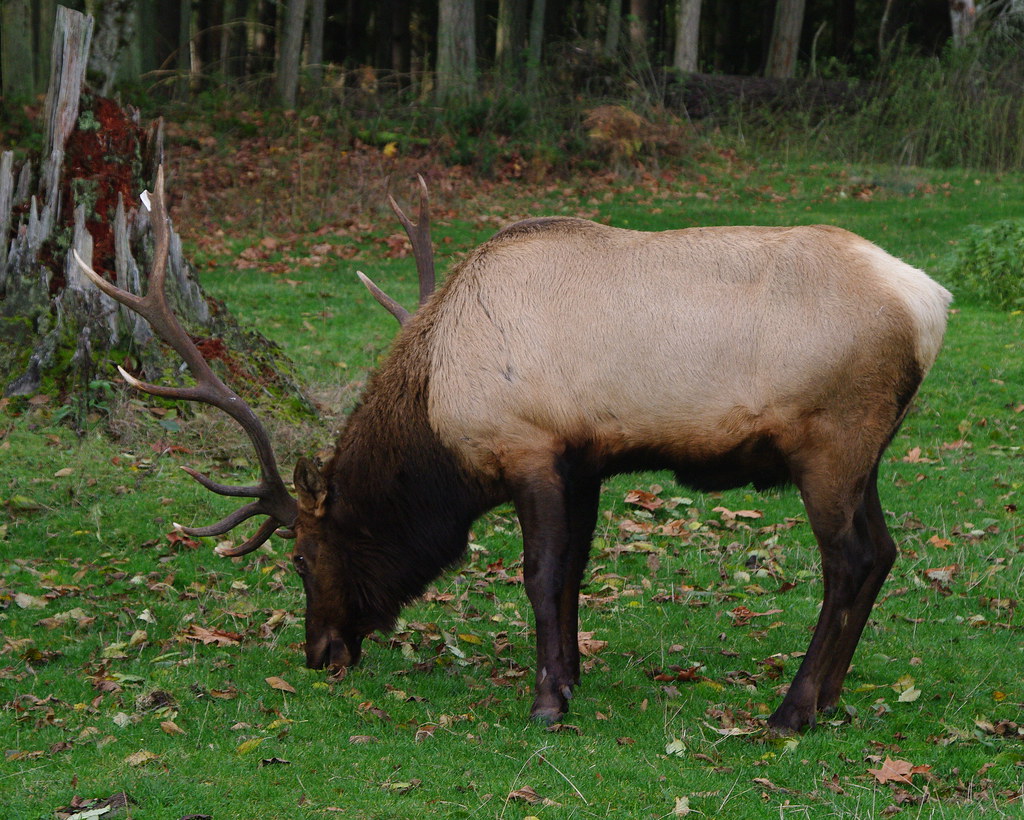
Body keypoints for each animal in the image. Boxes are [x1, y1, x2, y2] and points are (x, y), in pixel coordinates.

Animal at [76, 168, 952, 733]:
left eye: (300, 557)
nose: (319, 653)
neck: (438, 413)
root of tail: (932, 302)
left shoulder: (529, 448)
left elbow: (538, 575)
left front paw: (544, 703)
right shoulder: (585, 458)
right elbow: (573, 577)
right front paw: (571, 674)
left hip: (831, 440)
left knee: (849, 561)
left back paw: (793, 710)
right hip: (866, 450)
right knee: (884, 552)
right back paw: (830, 699)